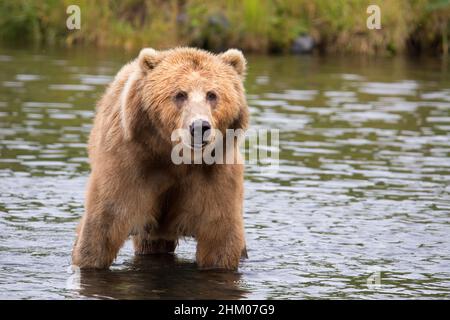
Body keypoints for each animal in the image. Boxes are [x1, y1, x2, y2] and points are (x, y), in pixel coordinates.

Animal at [72, 47, 251, 270]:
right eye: (180, 94)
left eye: (212, 94)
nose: (199, 127)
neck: (176, 158)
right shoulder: (129, 164)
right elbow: (103, 225)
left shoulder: (215, 174)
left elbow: (219, 236)